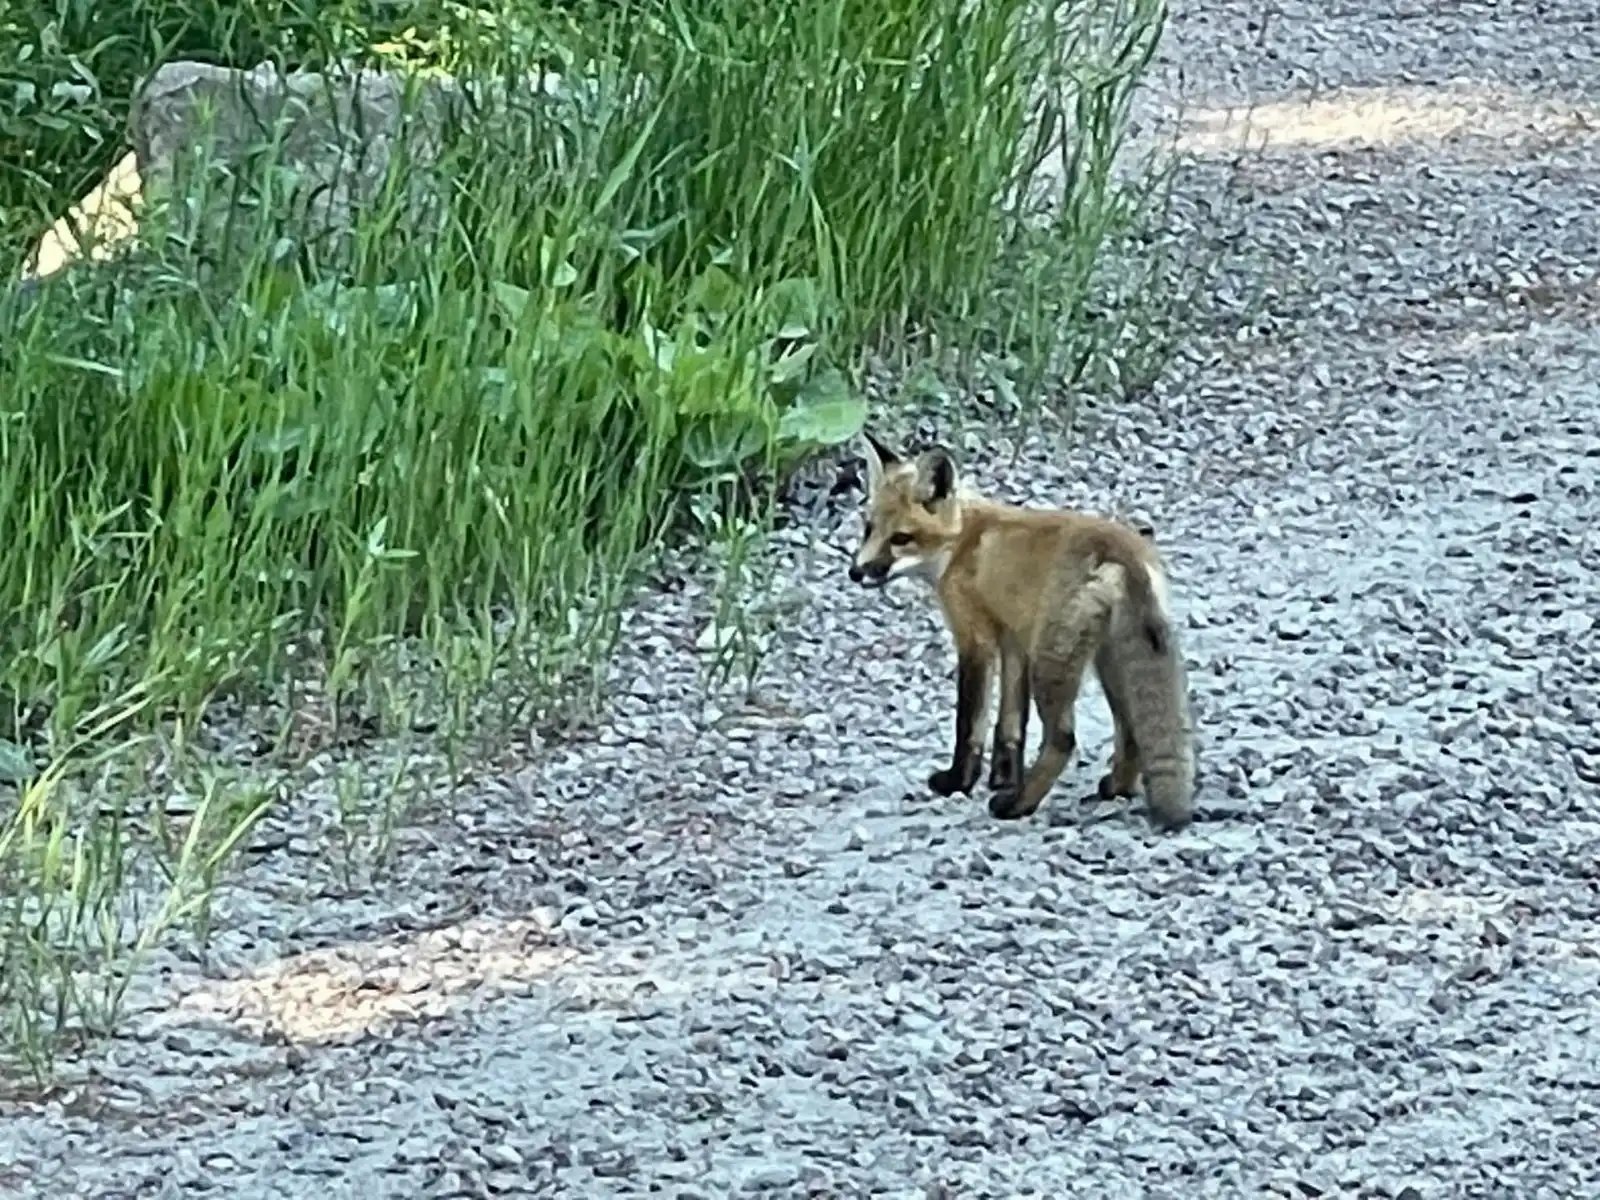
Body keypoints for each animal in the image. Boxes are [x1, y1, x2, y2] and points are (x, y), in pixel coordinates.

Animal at [847, 432, 1195, 830]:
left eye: (902, 538)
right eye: (869, 529)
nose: (856, 572)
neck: (961, 544)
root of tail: (1122, 551)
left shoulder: (976, 640)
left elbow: (970, 725)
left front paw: (959, 782)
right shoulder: (1014, 641)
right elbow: (1010, 726)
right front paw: (1003, 776)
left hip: (1053, 663)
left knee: (1063, 739)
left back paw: (1018, 805)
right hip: (1109, 660)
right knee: (1132, 729)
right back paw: (1114, 787)